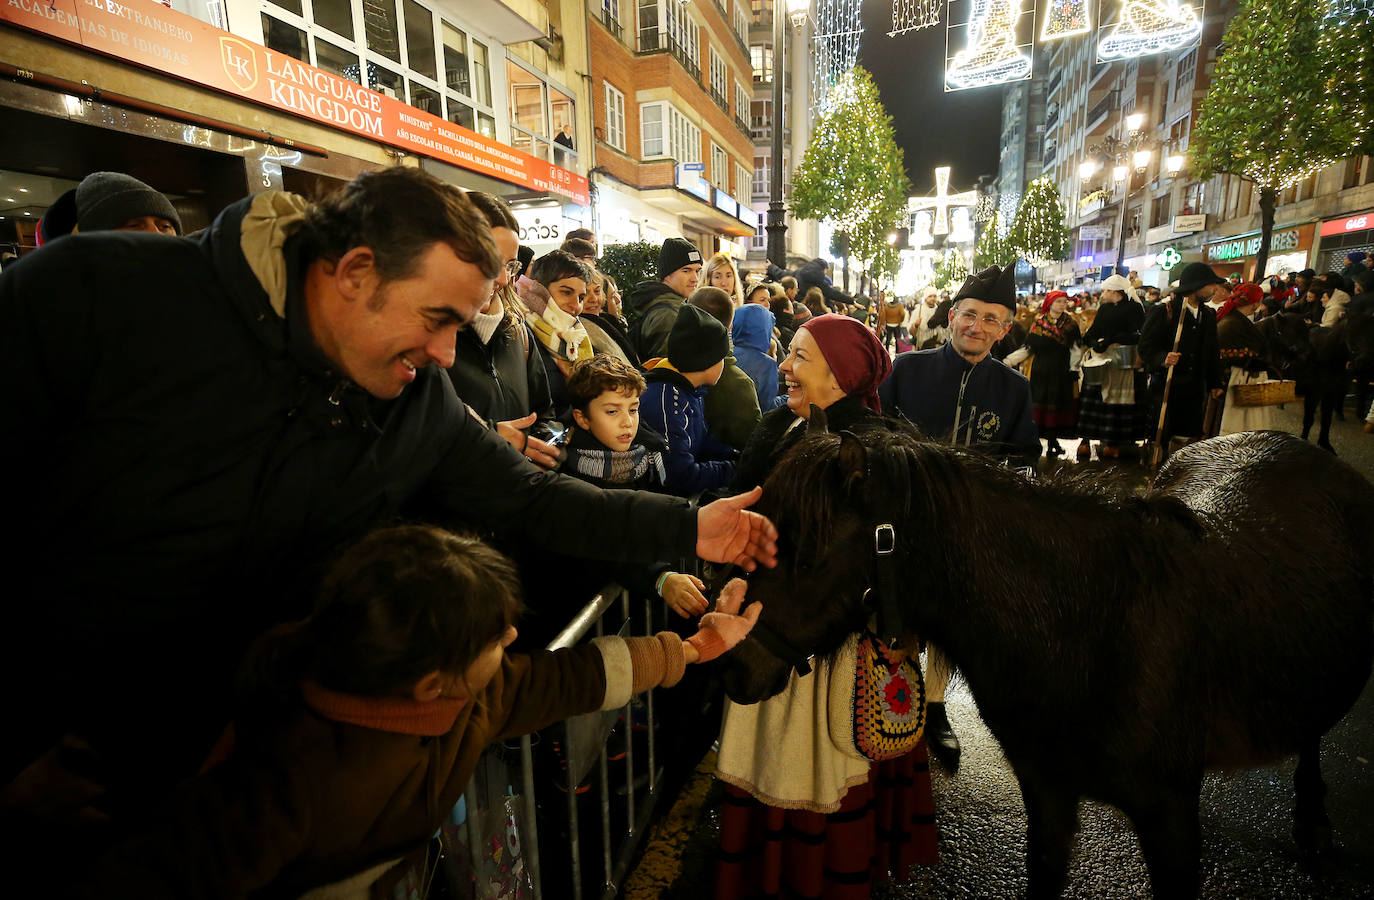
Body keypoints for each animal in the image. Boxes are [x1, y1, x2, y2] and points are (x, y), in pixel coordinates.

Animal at [719, 428, 1374, 900]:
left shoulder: (1169, 819)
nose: (733, 667)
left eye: (807, 557)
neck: (1089, 627)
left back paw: (1313, 820)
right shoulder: (1048, 795)